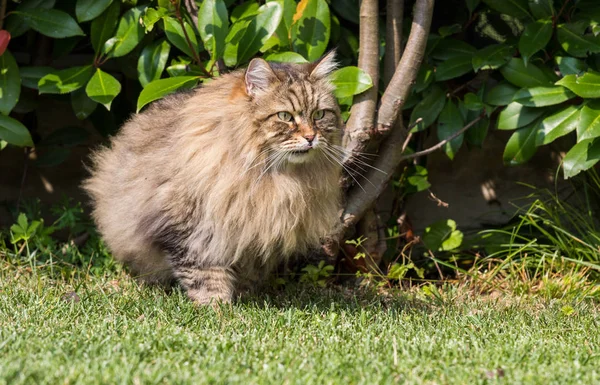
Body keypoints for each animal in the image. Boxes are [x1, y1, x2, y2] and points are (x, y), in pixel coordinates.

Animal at [85, 51, 346, 304]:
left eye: (319, 114)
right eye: (285, 116)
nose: (311, 137)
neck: (272, 177)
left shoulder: (254, 234)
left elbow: (247, 272)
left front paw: (244, 298)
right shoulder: (190, 228)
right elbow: (204, 273)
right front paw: (217, 306)